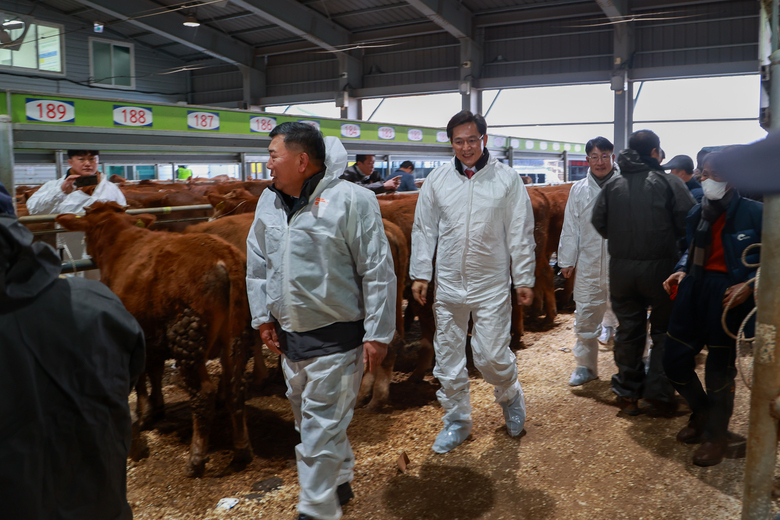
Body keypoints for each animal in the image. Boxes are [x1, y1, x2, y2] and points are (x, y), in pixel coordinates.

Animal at [58, 201, 253, 478]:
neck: (120, 242)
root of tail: (225, 257)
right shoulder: (152, 334)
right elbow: (155, 370)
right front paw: (157, 406)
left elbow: (142, 376)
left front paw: (145, 411)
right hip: (238, 334)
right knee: (235, 386)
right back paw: (242, 450)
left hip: (187, 337)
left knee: (203, 395)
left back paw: (195, 460)